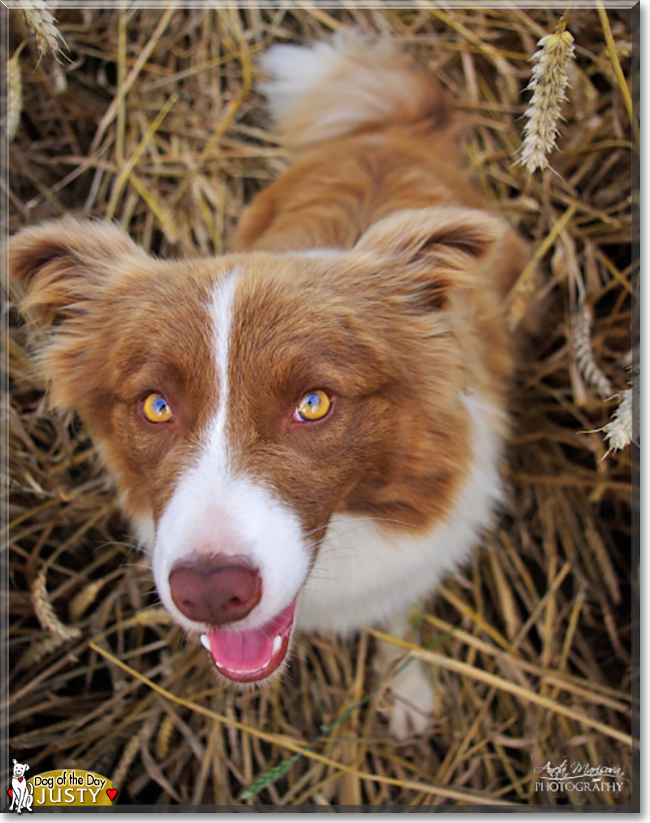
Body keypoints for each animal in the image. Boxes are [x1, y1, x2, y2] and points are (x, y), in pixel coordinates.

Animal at [8, 32, 528, 740]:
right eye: (156, 406)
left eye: (314, 404)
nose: (209, 592)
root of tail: (390, 131)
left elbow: (402, 617)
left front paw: (408, 690)